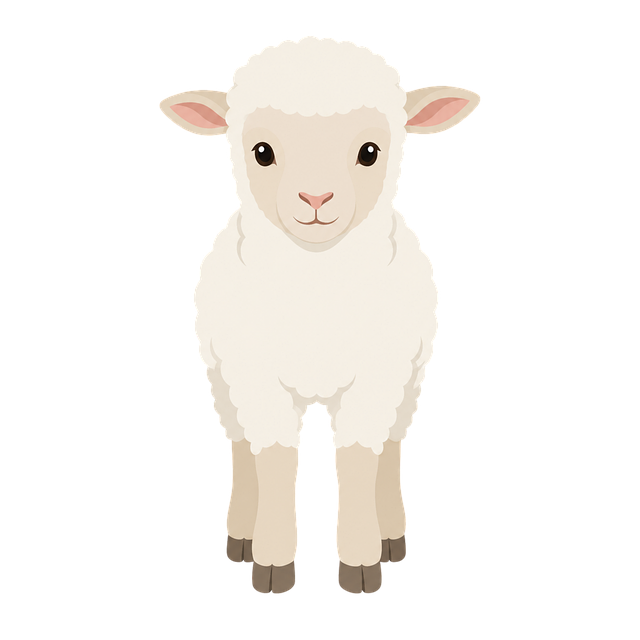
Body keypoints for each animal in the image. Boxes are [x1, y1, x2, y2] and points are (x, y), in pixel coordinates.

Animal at [158, 35, 481, 595]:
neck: (316, 293)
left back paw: (391, 534)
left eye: (370, 152)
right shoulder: (255, 376)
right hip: (220, 374)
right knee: (240, 443)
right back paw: (241, 534)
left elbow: (357, 458)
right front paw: (271, 563)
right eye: (261, 152)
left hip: (410, 376)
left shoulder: (378, 375)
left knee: (390, 443)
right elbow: (273, 457)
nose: (316, 198)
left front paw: (360, 563)